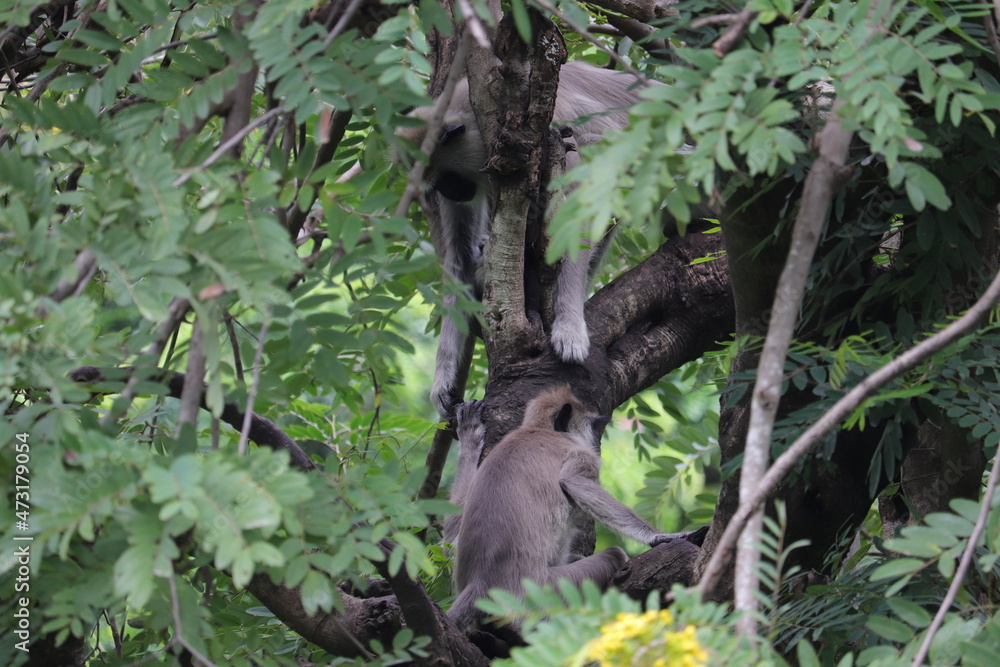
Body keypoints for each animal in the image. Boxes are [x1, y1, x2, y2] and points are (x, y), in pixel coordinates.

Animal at [398, 62, 654, 417]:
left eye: (448, 178)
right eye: (441, 186)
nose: (451, 192)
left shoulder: (556, 129)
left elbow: (578, 199)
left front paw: (569, 325)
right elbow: (460, 256)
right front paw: (444, 378)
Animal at [444, 386, 707, 631]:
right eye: (593, 424)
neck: (538, 430)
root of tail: (480, 584)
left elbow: (449, 536)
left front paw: (469, 432)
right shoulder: (580, 454)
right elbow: (573, 482)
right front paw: (662, 537)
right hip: (544, 591)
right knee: (614, 554)